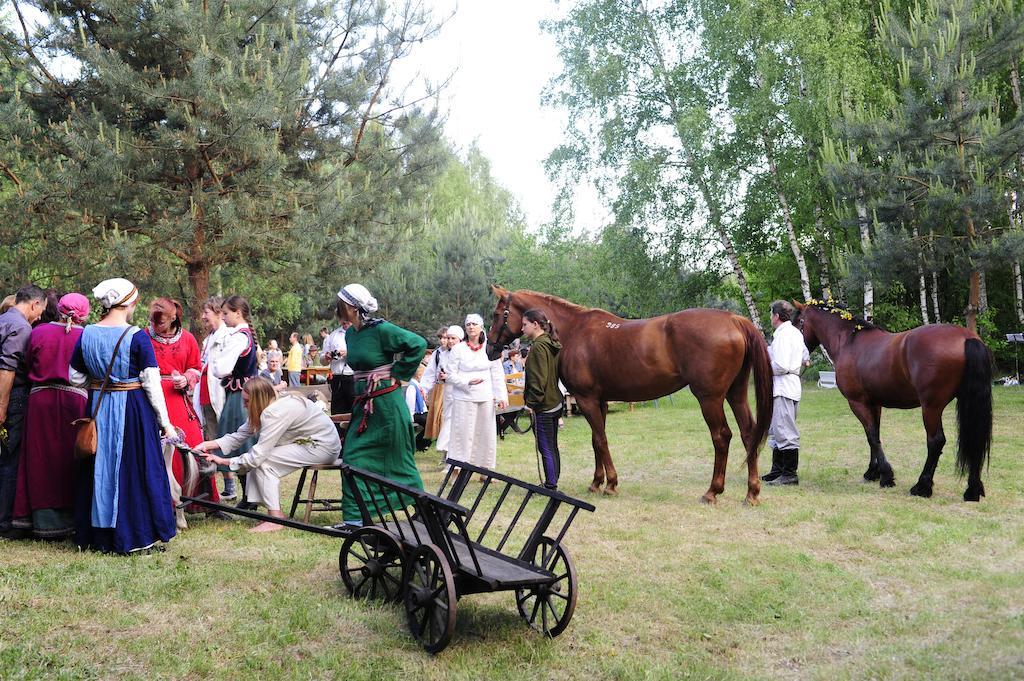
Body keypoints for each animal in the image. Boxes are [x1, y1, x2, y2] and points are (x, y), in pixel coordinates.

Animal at [483, 284, 770, 501]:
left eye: (497, 314)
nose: (490, 349)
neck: (573, 330)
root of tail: (734, 320)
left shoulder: (587, 399)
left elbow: (600, 440)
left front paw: (610, 484)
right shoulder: (600, 401)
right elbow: (596, 440)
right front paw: (596, 482)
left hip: (710, 398)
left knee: (722, 437)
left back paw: (713, 491)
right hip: (736, 393)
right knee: (748, 433)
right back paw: (752, 492)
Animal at [790, 301, 991, 499]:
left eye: (797, 322)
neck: (848, 342)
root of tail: (966, 337)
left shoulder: (857, 402)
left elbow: (871, 435)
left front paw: (886, 476)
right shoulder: (874, 403)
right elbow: (874, 435)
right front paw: (873, 472)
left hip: (931, 407)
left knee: (936, 441)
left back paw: (922, 487)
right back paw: (972, 490)